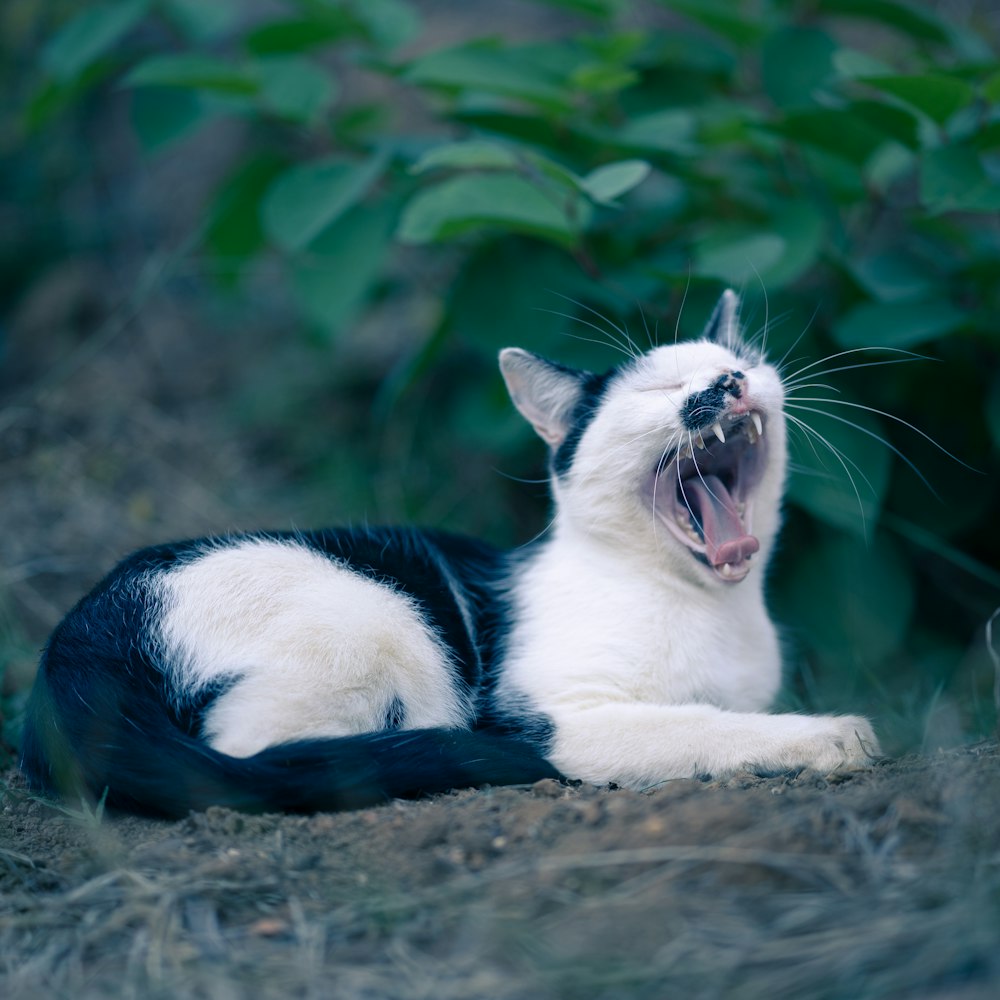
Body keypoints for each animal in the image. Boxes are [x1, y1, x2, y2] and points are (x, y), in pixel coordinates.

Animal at [19, 288, 880, 812]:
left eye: (740, 364)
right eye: (653, 391)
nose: (729, 383)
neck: (709, 607)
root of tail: (75, 640)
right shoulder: (559, 718)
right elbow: (698, 725)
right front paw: (822, 734)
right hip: (370, 617)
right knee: (253, 760)